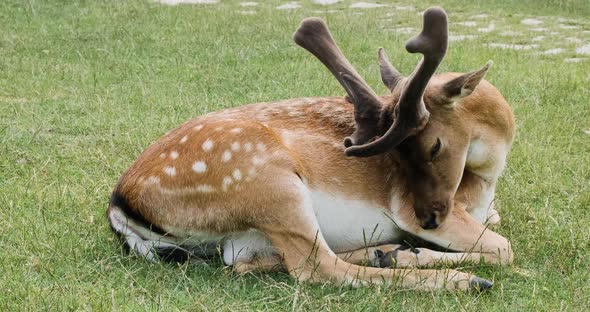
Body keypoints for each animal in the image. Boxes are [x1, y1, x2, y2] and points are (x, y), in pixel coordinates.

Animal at [108, 6, 516, 292]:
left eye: (432, 146)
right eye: (400, 154)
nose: (429, 219)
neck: (489, 180)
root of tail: (120, 204)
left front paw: (401, 251)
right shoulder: (406, 205)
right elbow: (503, 248)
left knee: (244, 261)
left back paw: (388, 252)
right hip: (269, 181)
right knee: (316, 267)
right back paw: (461, 279)